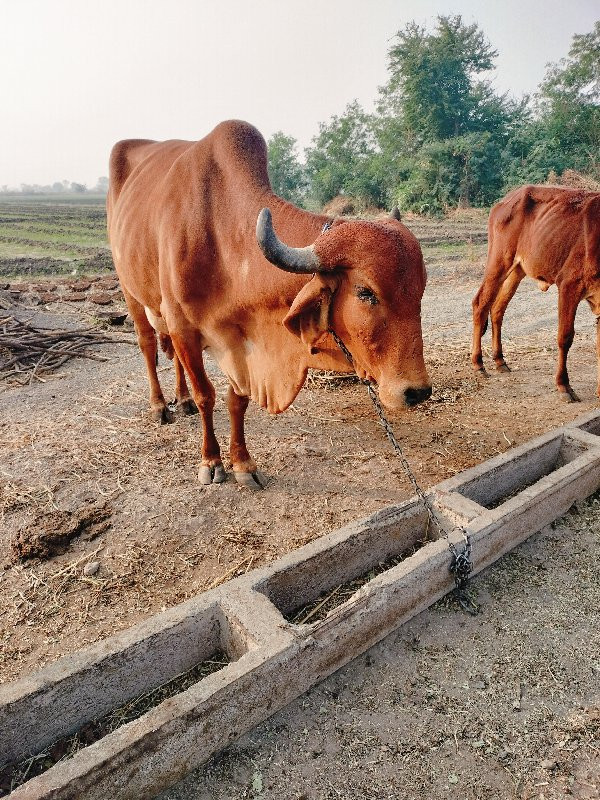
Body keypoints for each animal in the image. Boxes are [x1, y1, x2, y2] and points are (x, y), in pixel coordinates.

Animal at [105, 120, 428, 488]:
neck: (223, 237)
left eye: (420, 290)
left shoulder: (242, 344)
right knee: (148, 345)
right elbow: (207, 396)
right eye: (365, 292)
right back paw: (160, 405)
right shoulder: (184, 327)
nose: (417, 392)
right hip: (131, 291)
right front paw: (212, 460)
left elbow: (237, 400)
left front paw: (243, 463)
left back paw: (181, 399)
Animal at [472, 184, 600, 404]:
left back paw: (499, 360)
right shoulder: (568, 285)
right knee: (480, 304)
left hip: (517, 270)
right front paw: (564, 386)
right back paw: (478, 364)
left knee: (497, 310)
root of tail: (504, 200)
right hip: (498, 262)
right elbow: (565, 337)